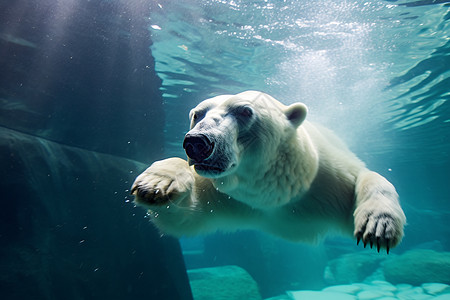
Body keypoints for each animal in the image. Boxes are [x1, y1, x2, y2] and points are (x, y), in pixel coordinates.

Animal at [132, 90, 406, 252]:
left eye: (244, 111)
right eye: (197, 114)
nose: (197, 142)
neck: (272, 192)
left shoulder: (326, 181)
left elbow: (367, 177)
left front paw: (378, 226)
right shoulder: (230, 199)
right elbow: (186, 218)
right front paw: (155, 184)